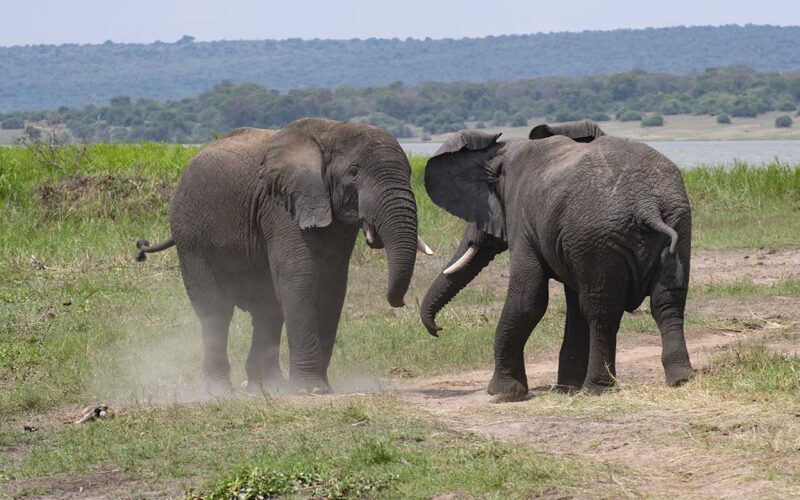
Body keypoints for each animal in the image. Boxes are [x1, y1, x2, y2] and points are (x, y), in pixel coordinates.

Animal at [136, 119, 432, 394]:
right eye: (354, 172)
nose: (401, 302)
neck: (331, 131)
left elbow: (332, 285)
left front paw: (321, 387)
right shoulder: (280, 205)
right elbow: (299, 277)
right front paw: (310, 390)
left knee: (267, 308)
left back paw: (267, 386)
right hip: (191, 237)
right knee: (216, 310)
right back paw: (220, 391)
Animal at [420, 120, 694, 401]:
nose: (439, 329)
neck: (504, 154)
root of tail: (645, 203)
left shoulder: (524, 220)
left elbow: (528, 299)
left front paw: (502, 393)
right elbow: (571, 306)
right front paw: (565, 389)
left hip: (599, 233)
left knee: (601, 311)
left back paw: (595, 390)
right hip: (675, 221)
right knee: (667, 302)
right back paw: (681, 379)